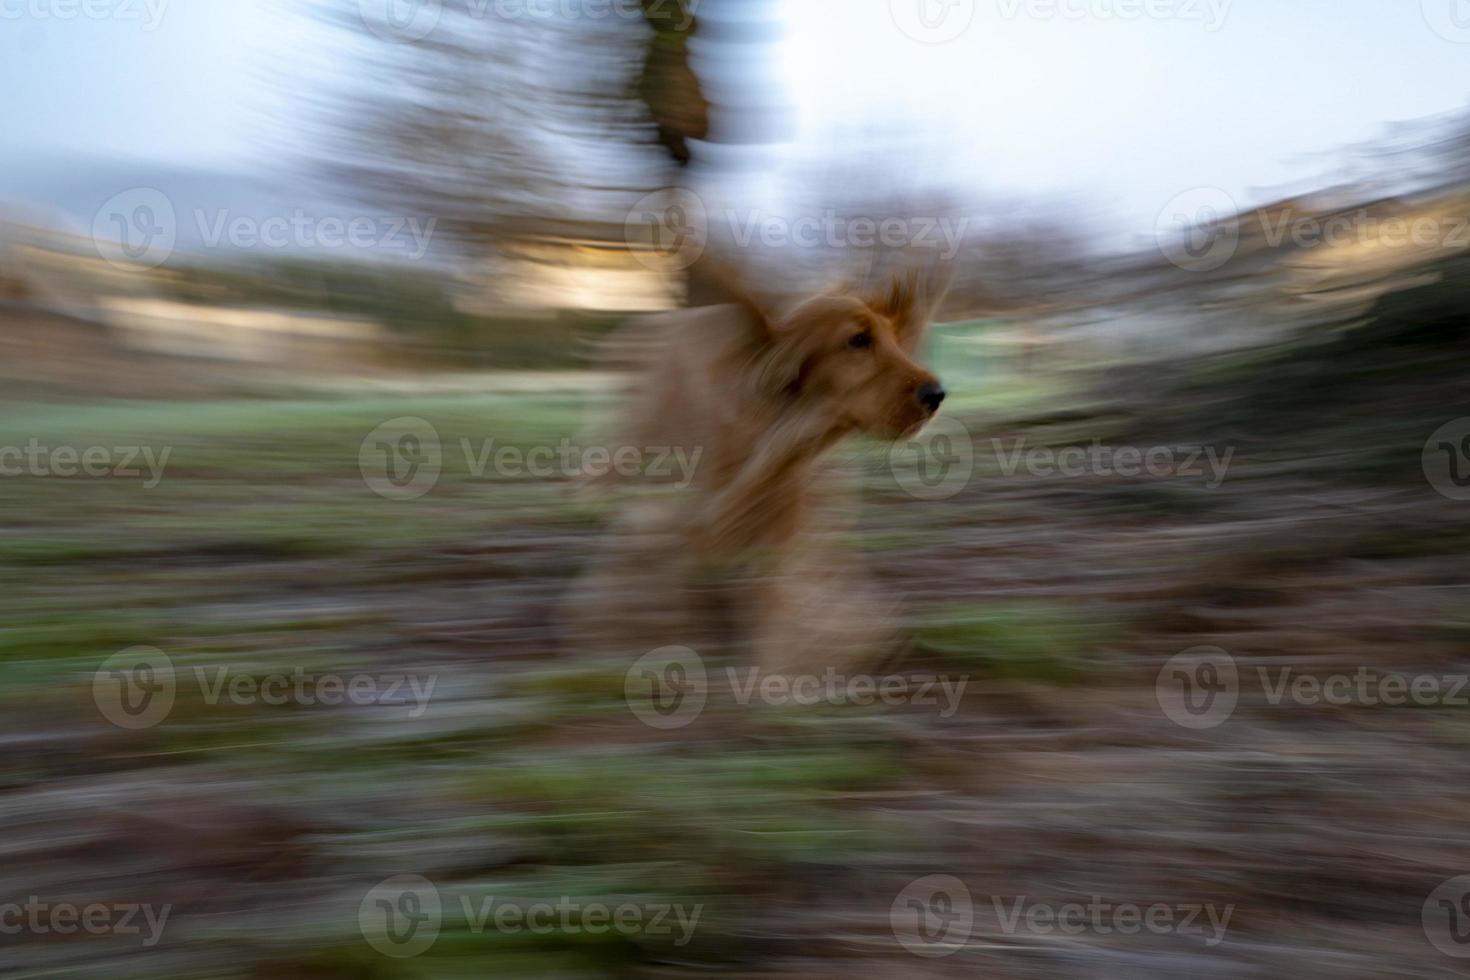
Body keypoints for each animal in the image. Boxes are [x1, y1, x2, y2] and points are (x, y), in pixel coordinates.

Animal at [558, 257, 952, 678]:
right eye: (858, 340)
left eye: (894, 338)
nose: (936, 394)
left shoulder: (779, 529)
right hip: (639, 429)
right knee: (606, 474)